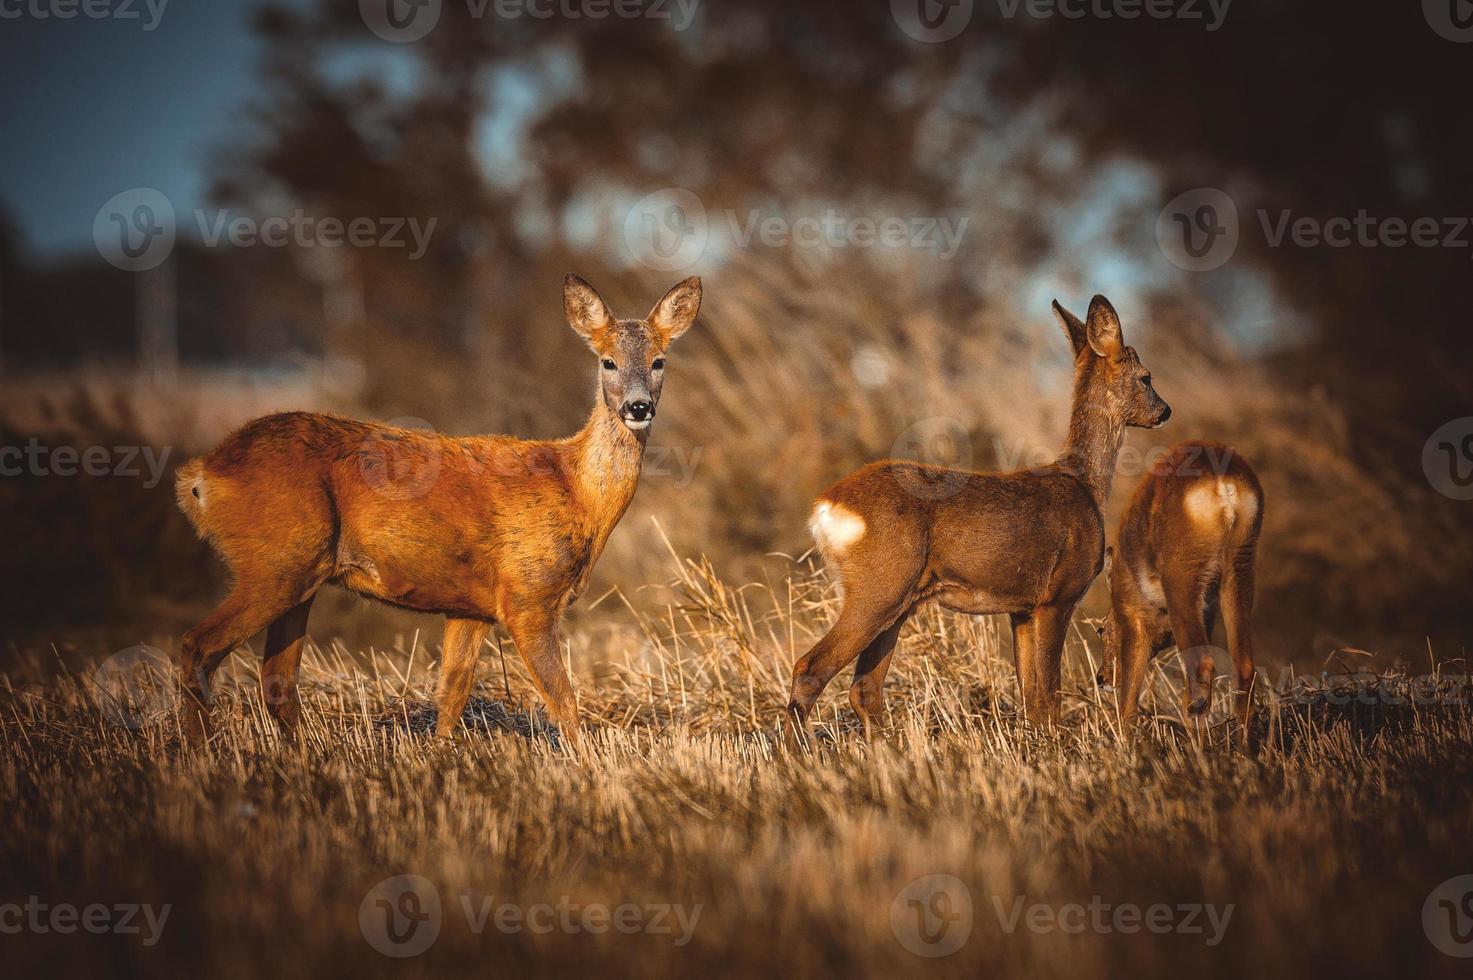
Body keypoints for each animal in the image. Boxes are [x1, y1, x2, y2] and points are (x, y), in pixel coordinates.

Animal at [172, 275, 701, 742]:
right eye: (607, 362)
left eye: (659, 361)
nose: (638, 407)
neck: (575, 490)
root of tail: (201, 474)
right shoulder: (527, 595)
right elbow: (564, 704)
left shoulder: (471, 608)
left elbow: (451, 698)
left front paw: (442, 758)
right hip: (276, 562)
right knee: (197, 647)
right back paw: (203, 754)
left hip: (300, 573)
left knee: (277, 681)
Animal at [789, 294, 1166, 736]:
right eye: (1146, 377)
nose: (1165, 410)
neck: (1086, 484)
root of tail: (825, 506)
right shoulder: (1059, 594)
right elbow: (1049, 696)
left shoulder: (1022, 607)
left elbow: (1032, 698)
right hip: (879, 586)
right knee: (811, 668)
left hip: (900, 600)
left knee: (864, 689)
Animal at [1101, 439, 1260, 736]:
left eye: (1101, 628)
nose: (1101, 678)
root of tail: (1224, 485)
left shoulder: (1132, 617)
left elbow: (1128, 701)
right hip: (1238, 567)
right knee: (1244, 666)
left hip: (1181, 580)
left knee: (1202, 668)